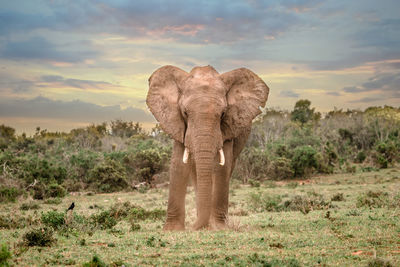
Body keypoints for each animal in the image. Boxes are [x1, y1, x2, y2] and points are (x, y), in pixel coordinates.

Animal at [147, 65, 268, 230]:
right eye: (185, 112)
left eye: (223, 113)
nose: (192, 228)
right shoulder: (177, 124)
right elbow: (178, 165)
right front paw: (172, 230)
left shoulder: (227, 127)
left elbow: (221, 167)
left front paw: (219, 227)